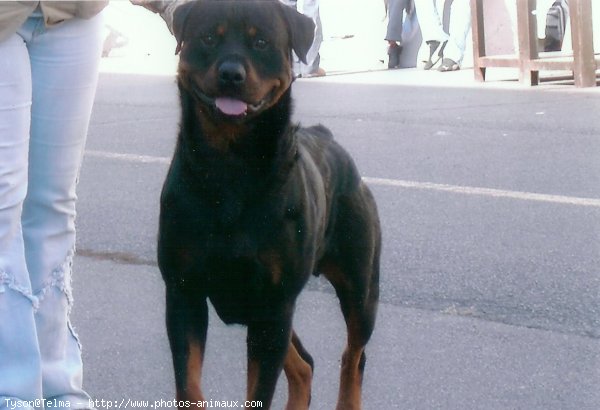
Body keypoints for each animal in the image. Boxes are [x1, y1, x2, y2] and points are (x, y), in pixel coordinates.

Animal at [158, 1, 380, 408]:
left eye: (260, 42)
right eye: (208, 37)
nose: (231, 73)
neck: (230, 167)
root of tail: (326, 136)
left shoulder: (273, 302)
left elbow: (259, 390)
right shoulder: (184, 291)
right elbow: (188, 385)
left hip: (360, 288)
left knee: (353, 355)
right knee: (304, 364)